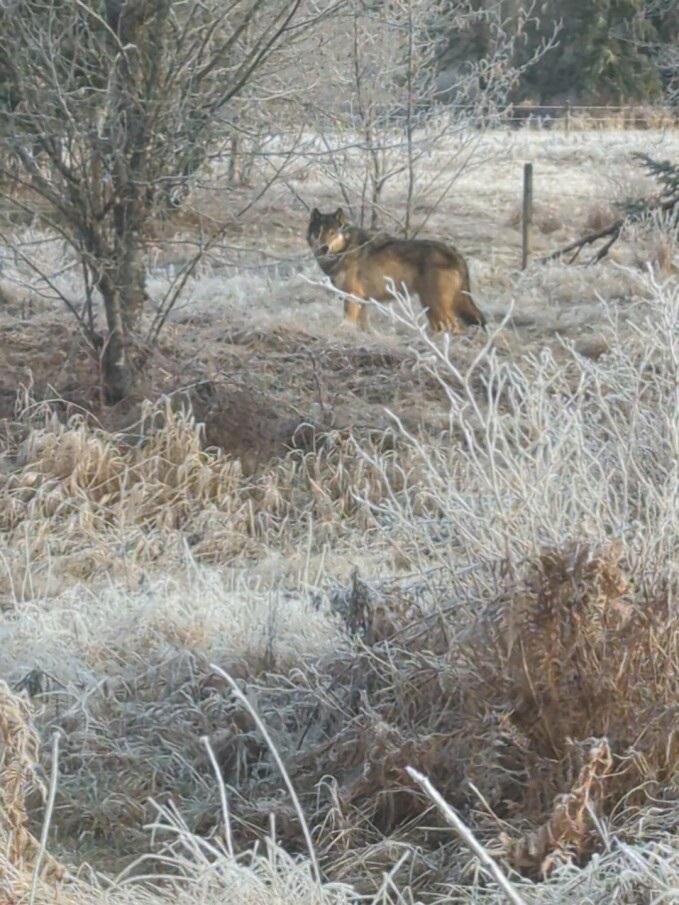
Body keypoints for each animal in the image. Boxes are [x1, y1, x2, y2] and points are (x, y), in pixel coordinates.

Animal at [307, 207, 486, 333]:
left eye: (332, 233)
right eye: (318, 233)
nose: (323, 248)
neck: (346, 249)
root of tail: (454, 252)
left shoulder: (352, 296)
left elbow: (348, 321)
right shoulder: (362, 300)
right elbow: (364, 326)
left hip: (436, 305)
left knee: (456, 327)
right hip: (429, 305)